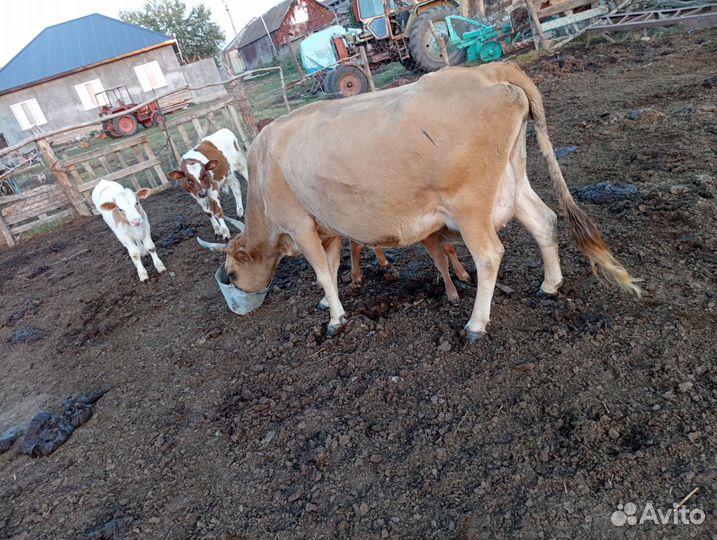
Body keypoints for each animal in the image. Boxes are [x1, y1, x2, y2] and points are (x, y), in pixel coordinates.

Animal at [198, 63, 641, 340]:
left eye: (232, 275)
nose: (239, 297)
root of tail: (486, 71)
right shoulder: (327, 224)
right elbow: (333, 264)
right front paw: (331, 301)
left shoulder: (298, 222)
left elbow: (322, 271)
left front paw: (336, 318)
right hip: (512, 182)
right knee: (544, 220)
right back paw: (550, 284)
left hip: (469, 203)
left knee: (489, 255)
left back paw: (476, 325)